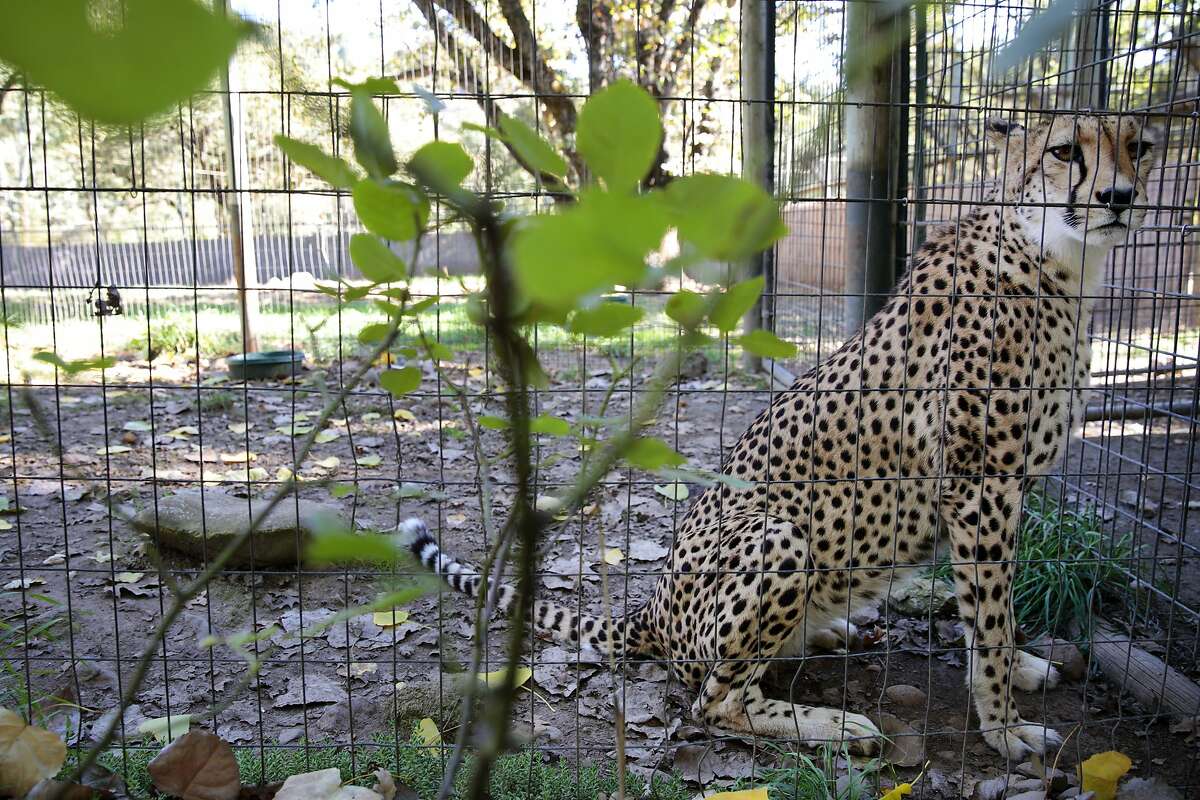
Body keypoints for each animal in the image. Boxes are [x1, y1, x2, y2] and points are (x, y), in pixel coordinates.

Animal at [400, 110, 1152, 758]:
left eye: (1138, 147)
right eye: (1064, 152)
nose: (1118, 197)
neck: (1054, 256)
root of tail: (653, 609)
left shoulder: (997, 497)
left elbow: (989, 613)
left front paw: (1020, 672)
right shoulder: (979, 490)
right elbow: (990, 619)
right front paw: (1003, 728)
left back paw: (834, 629)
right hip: (780, 535)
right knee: (714, 702)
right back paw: (832, 724)